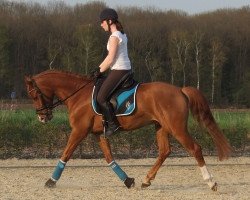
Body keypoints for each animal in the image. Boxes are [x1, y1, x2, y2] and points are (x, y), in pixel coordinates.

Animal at [24, 70, 231, 191]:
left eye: (34, 95)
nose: (42, 117)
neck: (78, 94)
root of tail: (180, 90)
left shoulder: (79, 131)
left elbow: (65, 154)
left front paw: (51, 181)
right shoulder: (98, 134)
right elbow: (109, 158)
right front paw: (128, 181)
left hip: (177, 128)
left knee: (195, 148)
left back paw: (211, 182)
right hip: (161, 127)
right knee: (165, 151)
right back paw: (146, 180)